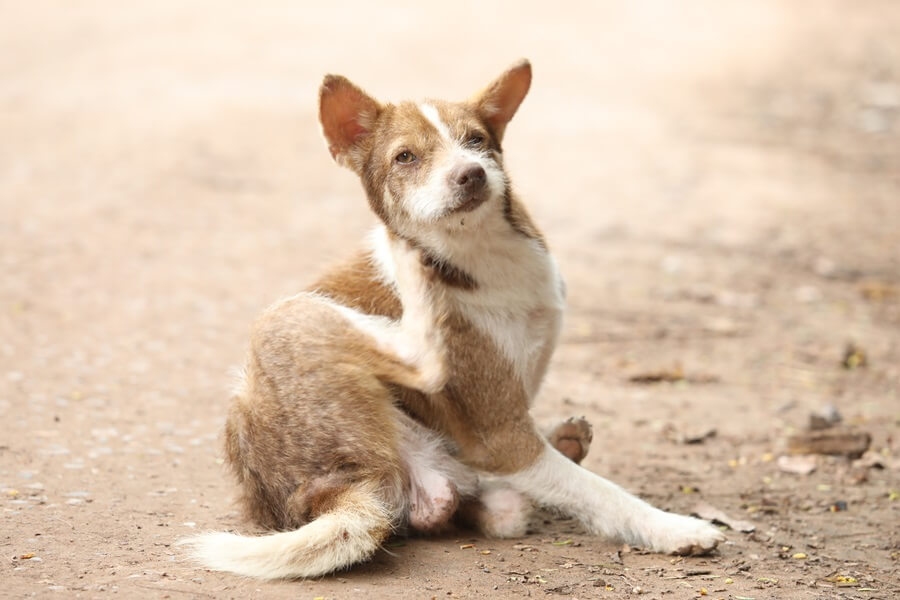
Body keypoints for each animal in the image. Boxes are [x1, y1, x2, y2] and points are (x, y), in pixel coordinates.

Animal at [181, 58, 724, 580]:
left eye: (476, 140)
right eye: (405, 157)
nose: (471, 173)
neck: (480, 255)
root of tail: (325, 495)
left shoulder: (505, 432)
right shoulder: (501, 436)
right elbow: (600, 492)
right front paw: (674, 528)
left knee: (489, 507)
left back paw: (562, 443)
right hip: (287, 316)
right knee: (424, 361)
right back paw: (408, 268)